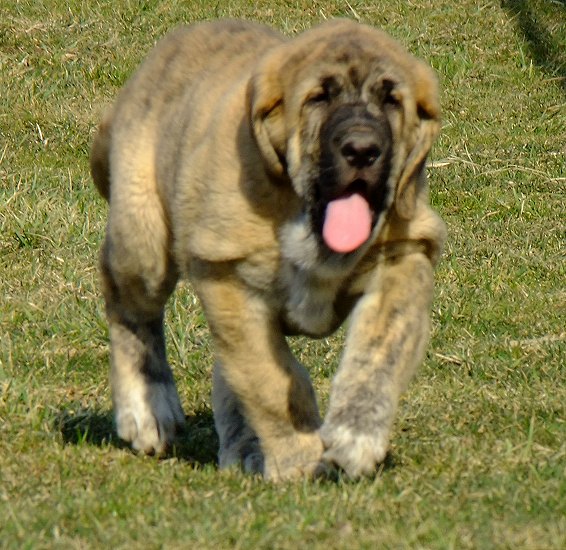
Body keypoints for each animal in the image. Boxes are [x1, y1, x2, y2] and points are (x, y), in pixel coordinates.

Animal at [91, 18, 448, 484]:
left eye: (392, 100)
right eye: (319, 97)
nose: (362, 149)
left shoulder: (405, 250)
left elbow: (381, 349)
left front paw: (356, 434)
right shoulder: (227, 276)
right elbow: (270, 380)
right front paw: (299, 457)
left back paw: (242, 445)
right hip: (143, 238)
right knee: (129, 308)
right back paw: (148, 409)